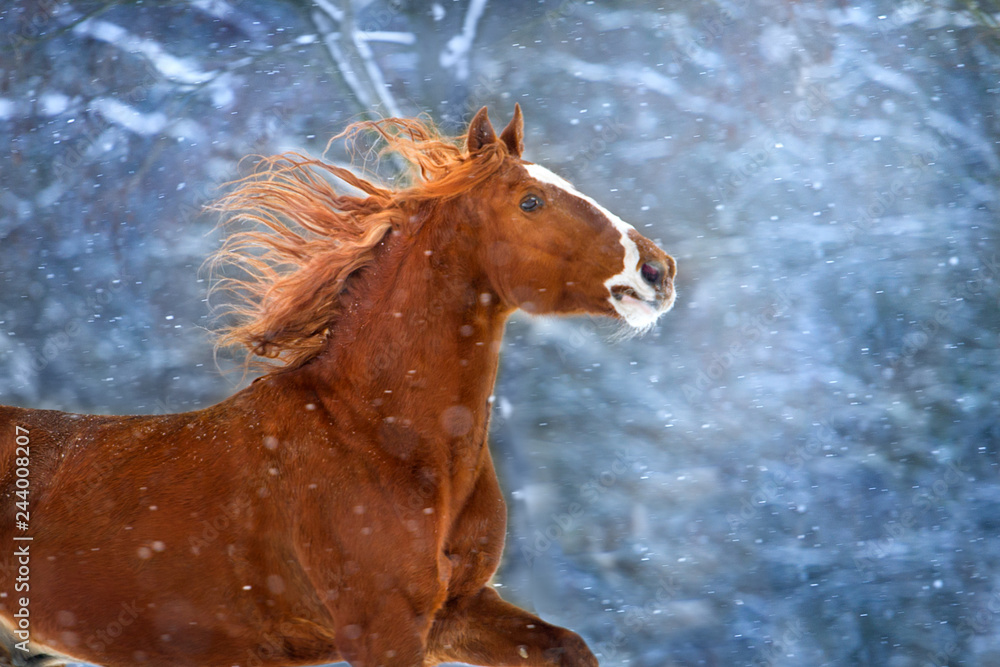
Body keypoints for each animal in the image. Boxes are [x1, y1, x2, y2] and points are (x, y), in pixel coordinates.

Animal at [0, 105, 676, 667]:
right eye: (530, 201)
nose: (657, 270)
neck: (378, 435)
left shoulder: (455, 613)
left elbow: (569, 647)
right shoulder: (382, 629)